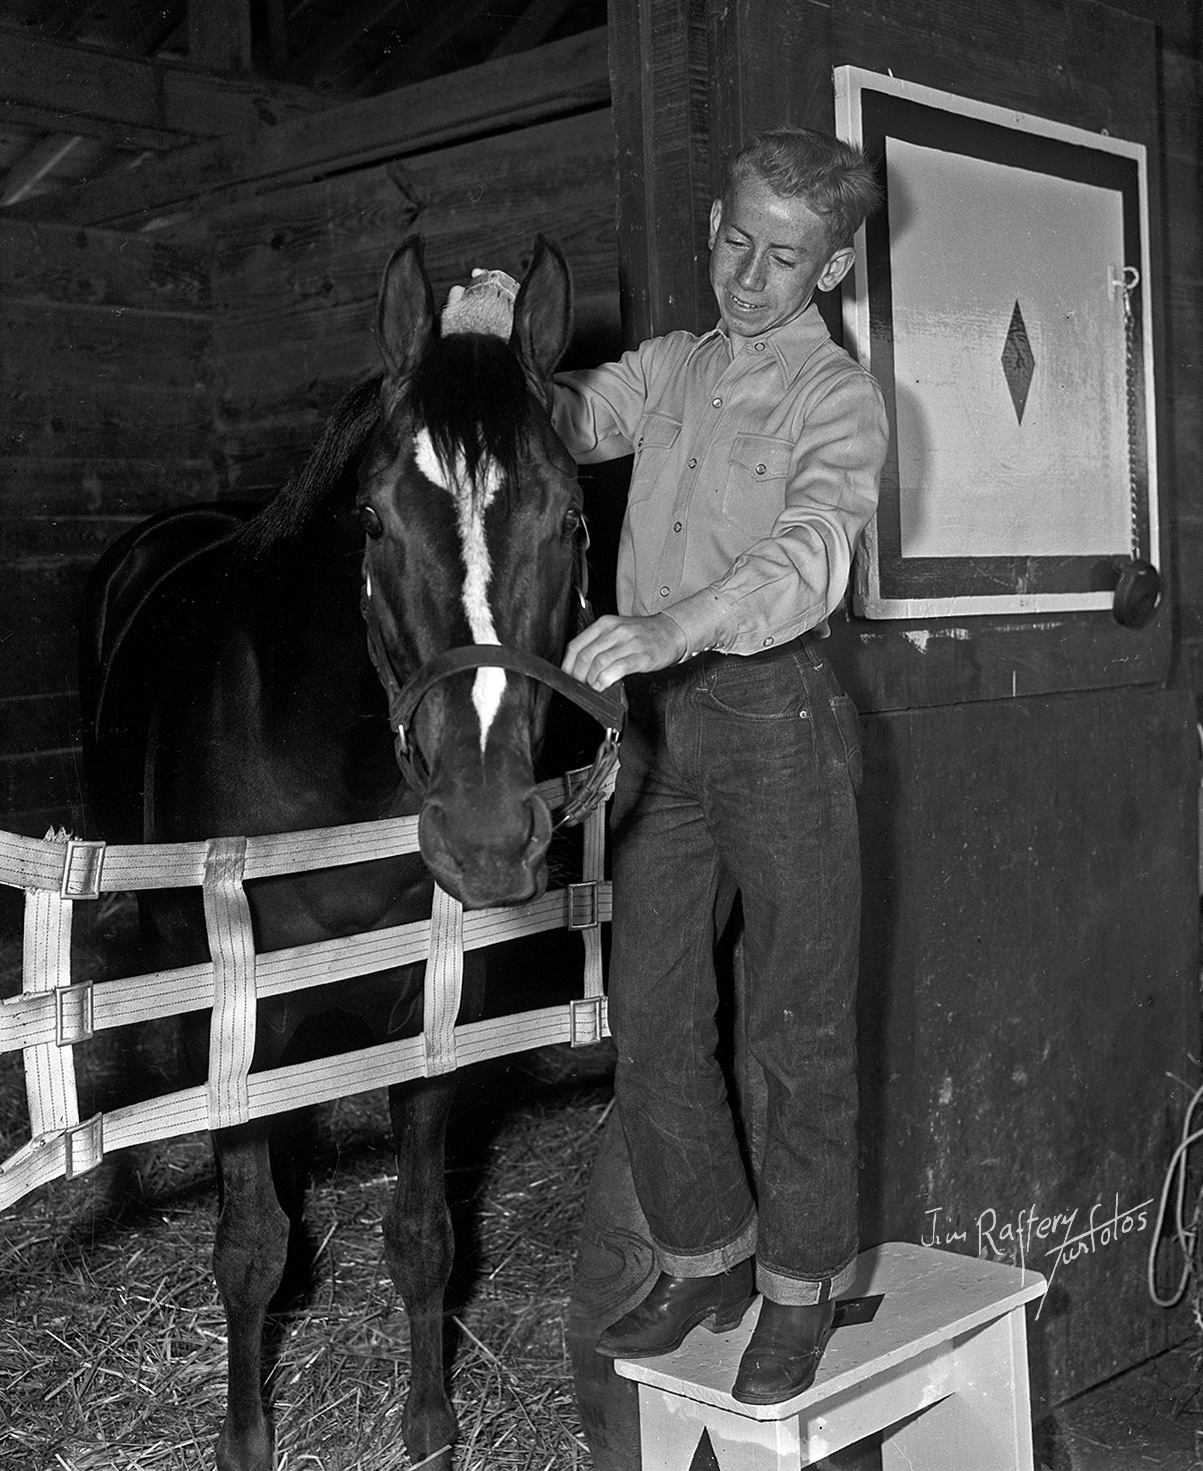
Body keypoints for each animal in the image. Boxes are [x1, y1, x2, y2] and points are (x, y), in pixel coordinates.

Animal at [77, 235, 600, 1465]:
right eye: (371, 520)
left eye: (570, 518)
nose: (486, 835)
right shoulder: (241, 1020)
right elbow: (250, 1249)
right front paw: (246, 1440)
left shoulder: (435, 1010)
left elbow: (422, 1234)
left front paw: (430, 1429)